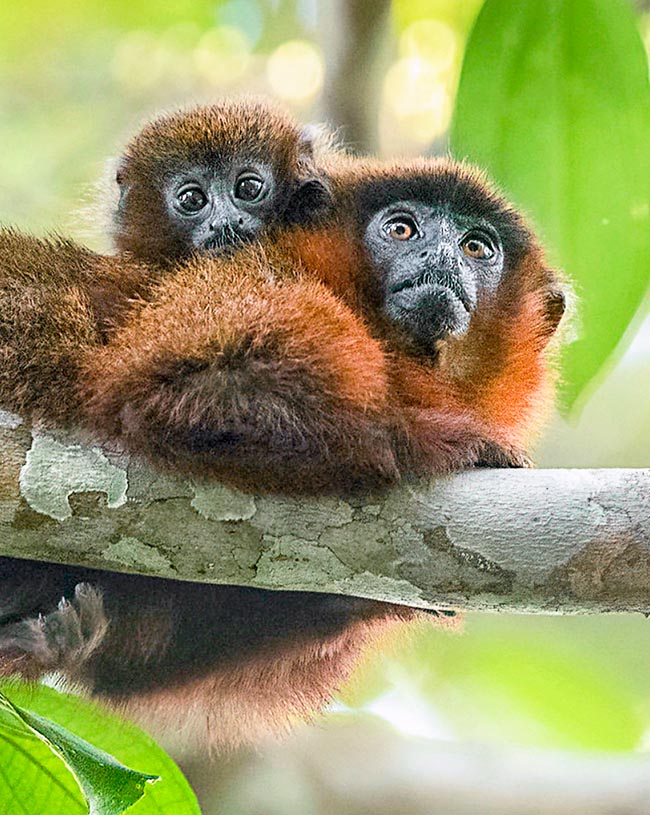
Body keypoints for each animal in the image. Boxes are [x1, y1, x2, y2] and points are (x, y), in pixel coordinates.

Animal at [0, 156, 560, 748]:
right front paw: (439, 442)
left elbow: (141, 651)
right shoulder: (272, 288)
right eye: (403, 229)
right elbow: (176, 389)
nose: (443, 256)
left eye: (477, 247)